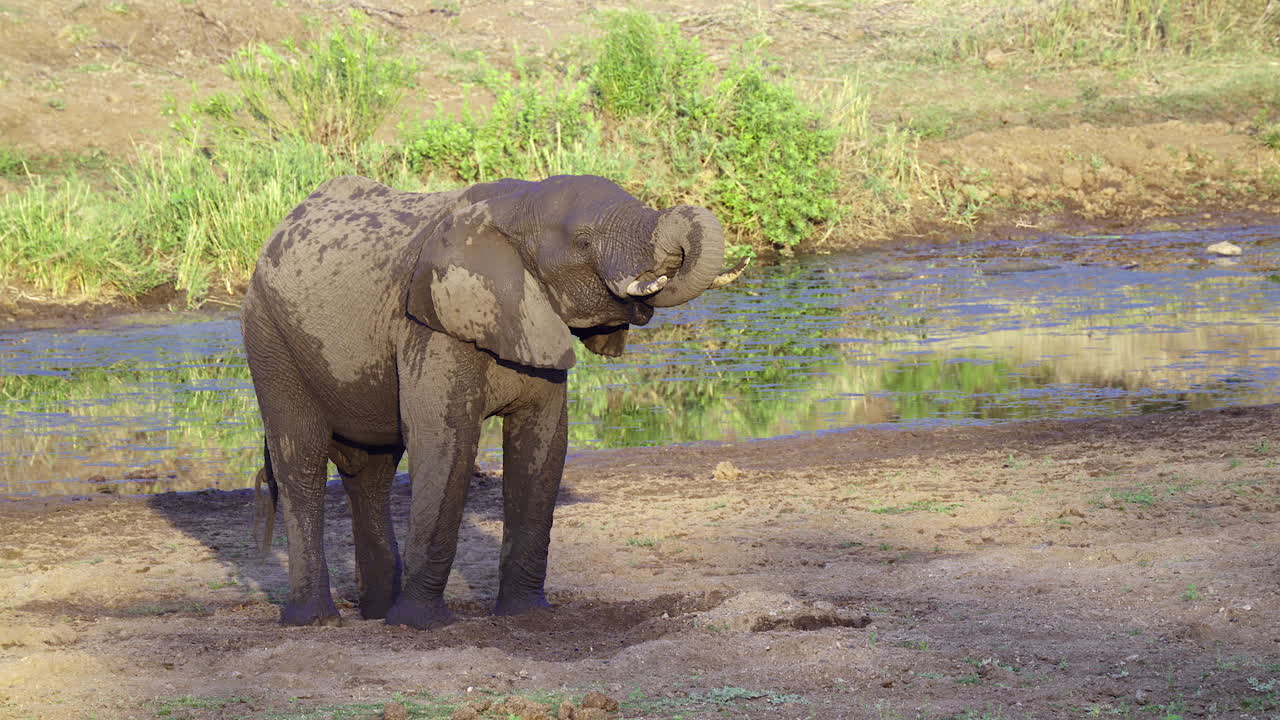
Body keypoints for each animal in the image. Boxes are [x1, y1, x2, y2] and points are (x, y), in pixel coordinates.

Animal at [243, 174, 746, 628]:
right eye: (583, 242)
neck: (517, 205)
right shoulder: (432, 325)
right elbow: (444, 443)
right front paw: (420, 625)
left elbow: (543, 444)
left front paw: (528, 615)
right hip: (269, 337)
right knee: (301, 461)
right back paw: (316, 621)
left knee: (371, 473)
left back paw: (375, 615)